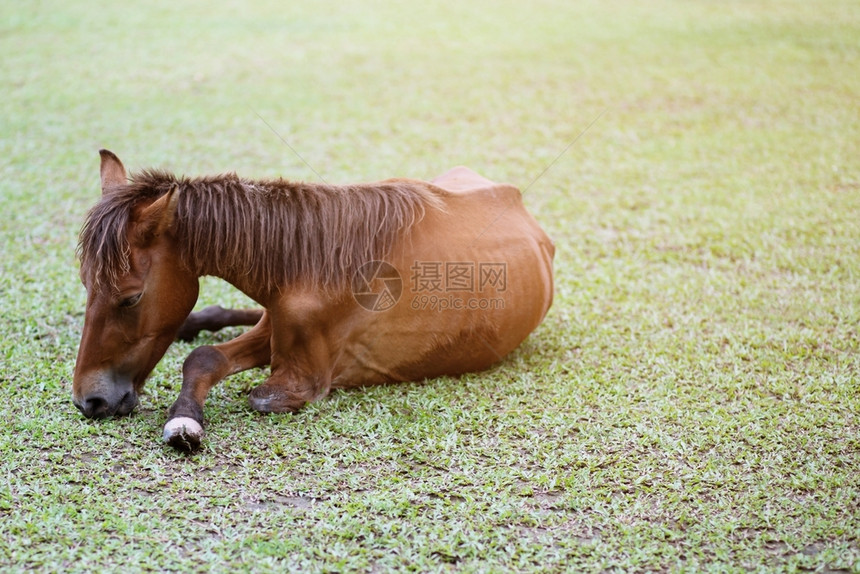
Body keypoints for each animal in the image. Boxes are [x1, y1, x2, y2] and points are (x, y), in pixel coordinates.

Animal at [74, 150, 556, 454]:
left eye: (131, 298)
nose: (88, 401)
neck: (312, 264)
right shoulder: (273, 328)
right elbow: (204, 357)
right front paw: (185, 418)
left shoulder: (299, 381)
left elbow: (253, 393)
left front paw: (184, 423)